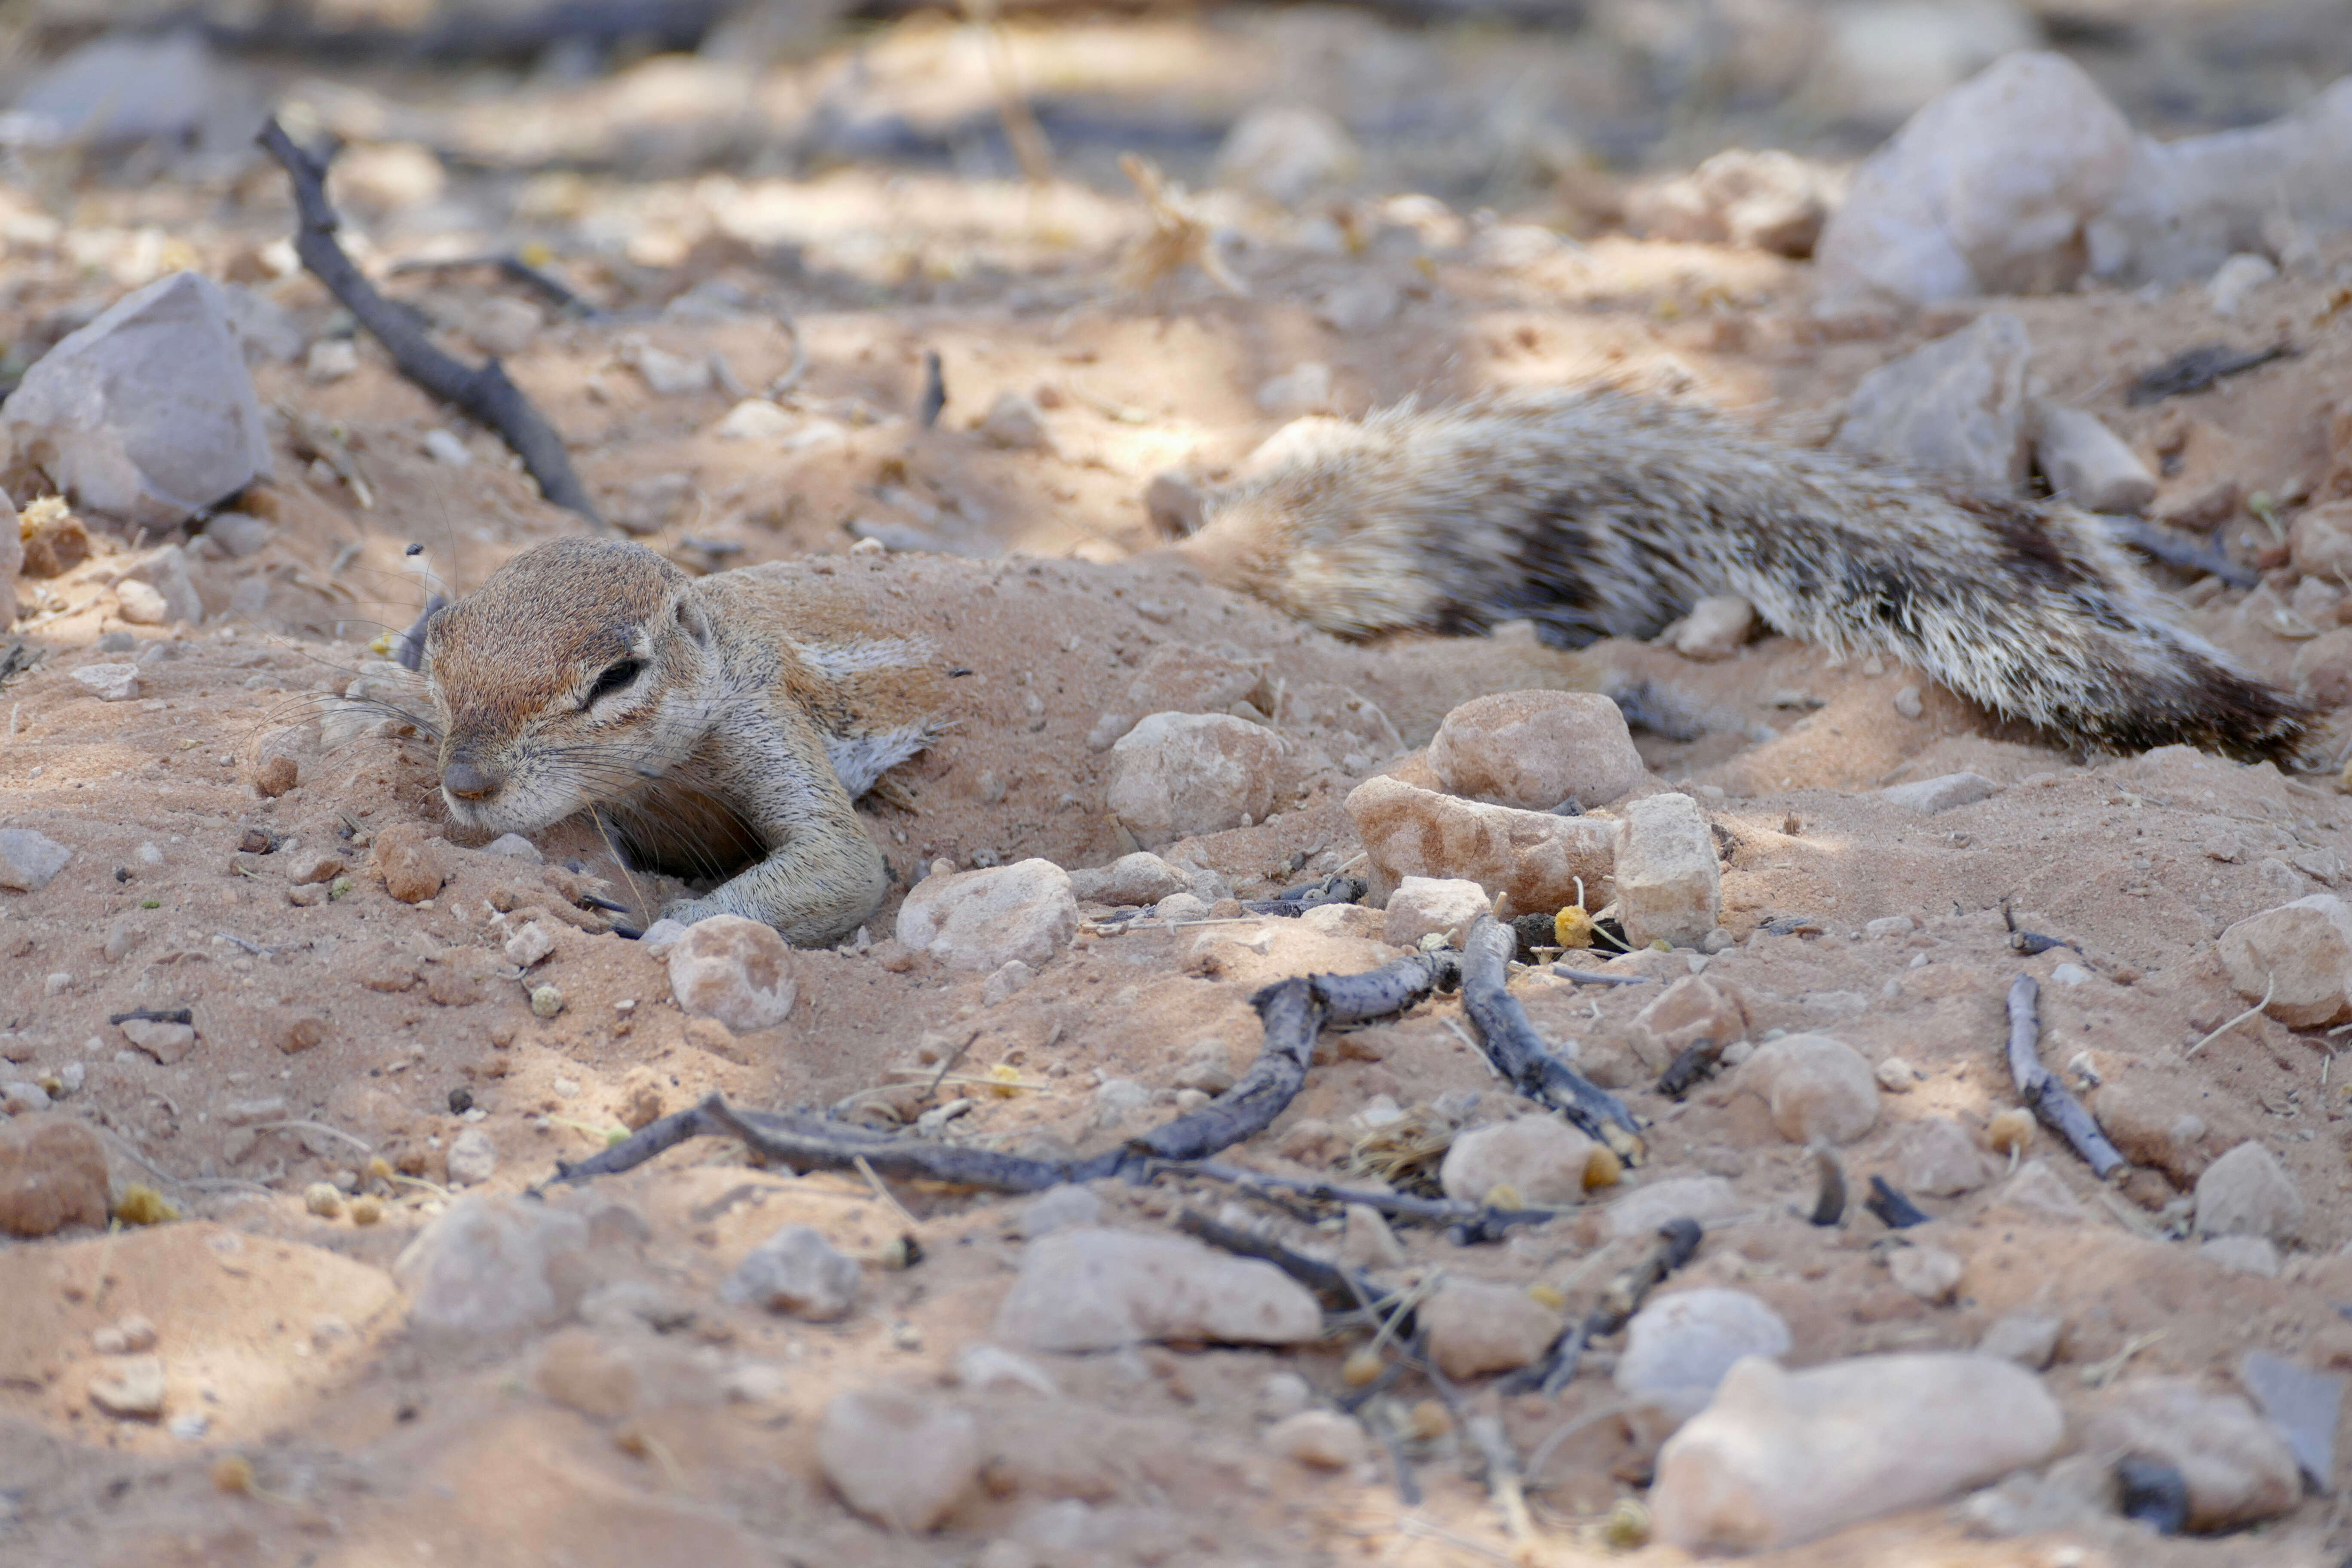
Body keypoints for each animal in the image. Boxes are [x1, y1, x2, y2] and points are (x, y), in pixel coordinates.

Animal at [423, 540, 945, 949]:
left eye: (618, 675)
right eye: (438, 636)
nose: (465, 782)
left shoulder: (760, 715)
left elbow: (846, 861)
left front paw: (672, 923)